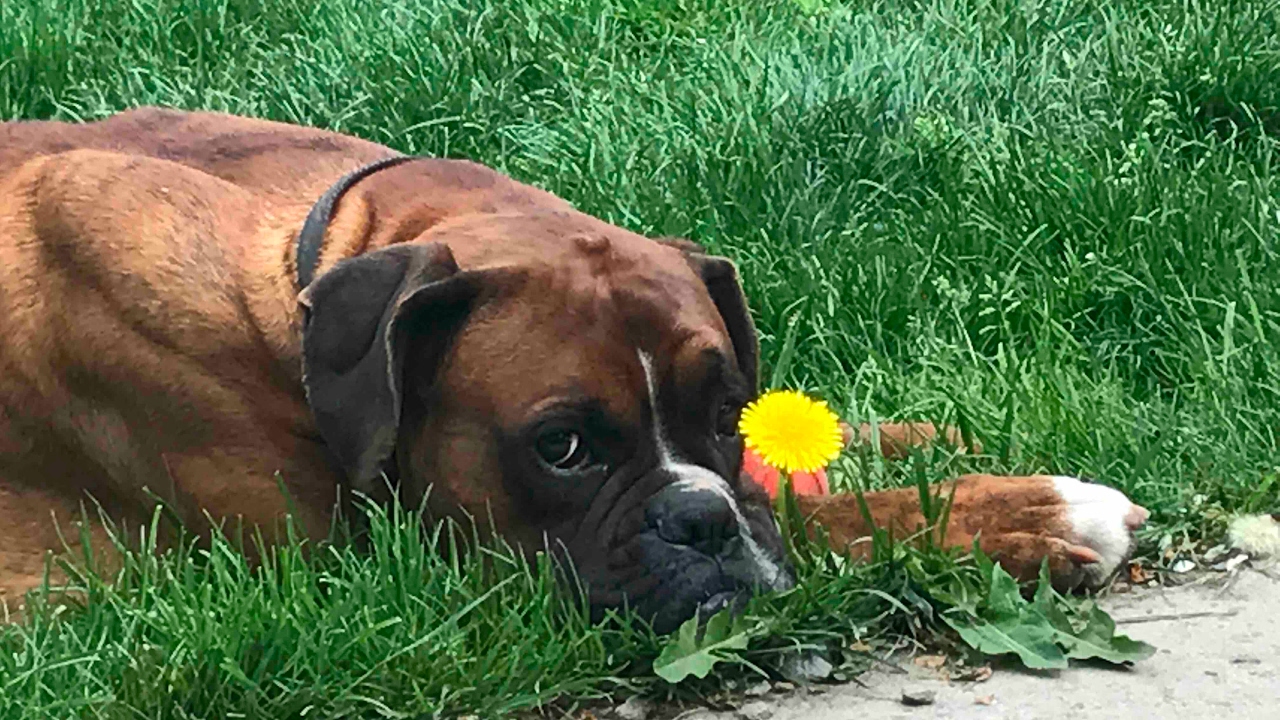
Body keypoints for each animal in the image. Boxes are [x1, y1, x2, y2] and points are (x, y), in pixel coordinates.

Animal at [0, 106, 1146, 627]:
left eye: (725, 411)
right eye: (561, 448)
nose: (702, 522)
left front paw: (922, 437)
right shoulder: (393, 577)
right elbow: (832, 523)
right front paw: (1030, 513)